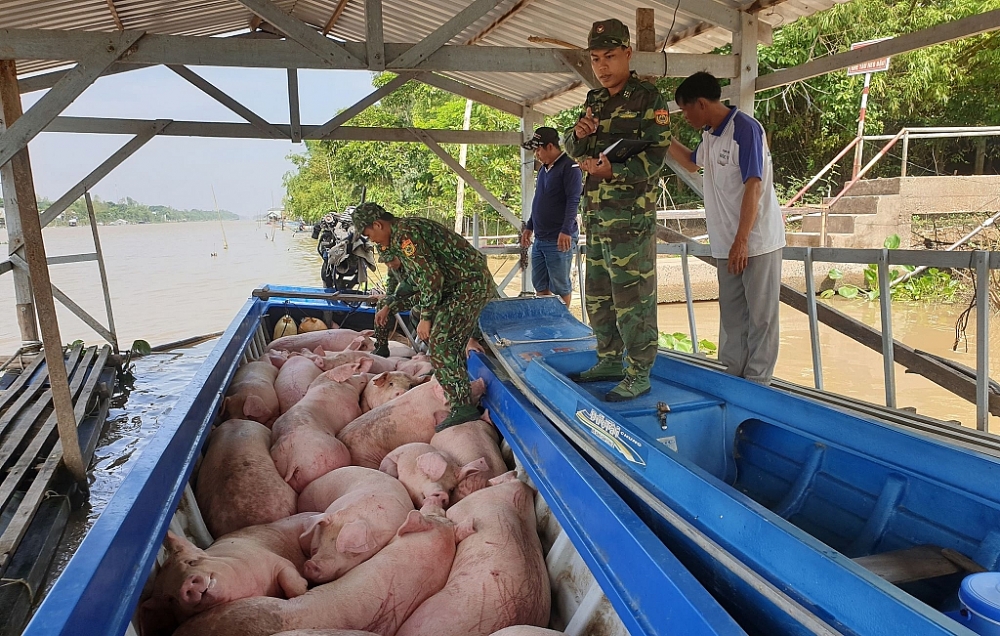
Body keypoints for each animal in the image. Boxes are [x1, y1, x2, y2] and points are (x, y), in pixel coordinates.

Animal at [139, 516, 312, 636]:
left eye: (191, 562)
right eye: (170, 599)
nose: (186, 586)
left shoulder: (275, 560)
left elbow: (291, 584)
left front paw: (304, 585)